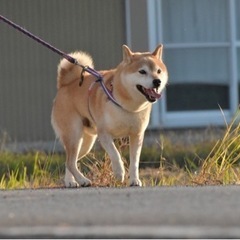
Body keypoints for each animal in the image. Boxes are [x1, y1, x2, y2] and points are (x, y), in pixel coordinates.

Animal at [51, 45, 168, 188]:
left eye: (158, 71)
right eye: (142, 71)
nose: (157, 81)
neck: (127, 106)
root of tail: (64, 85)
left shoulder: (137, 135)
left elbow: (135, 161)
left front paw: (134, 180)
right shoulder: (104, 134)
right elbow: (115, 154)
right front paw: (119, 173)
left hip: (85, 143)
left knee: (70, 161)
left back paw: (71, 182)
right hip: (74, 135)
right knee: (70, 161)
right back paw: (83, 180)